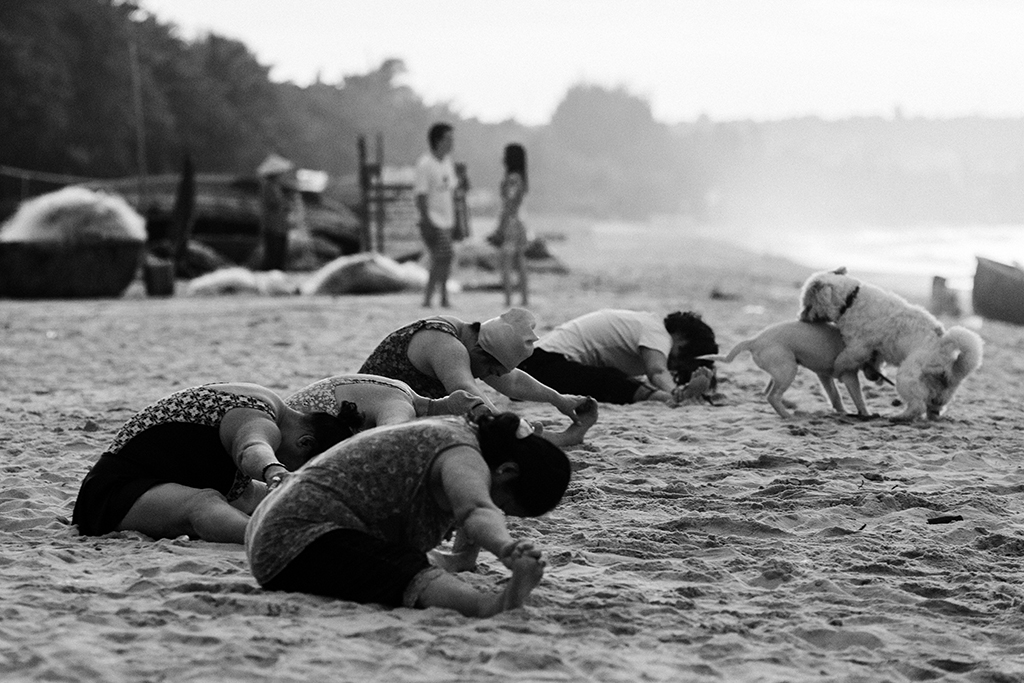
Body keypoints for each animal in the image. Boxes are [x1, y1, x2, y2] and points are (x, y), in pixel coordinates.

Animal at [704, 321, 880, 417]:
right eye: (876, 359)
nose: (877, 378)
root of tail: (754, 340)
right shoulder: (850, 377)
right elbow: (859, 398)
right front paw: (867, 414)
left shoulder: (824, 375)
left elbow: (834, 395)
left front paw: (842, 411)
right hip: (788, 371)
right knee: (773, 396)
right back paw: (788, 416)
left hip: (780, 372)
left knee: (767, 392)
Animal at [798, 268, 983, 421]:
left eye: (807, 305)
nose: (800, 318)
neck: (850, 300)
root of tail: (944, 349)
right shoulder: (874, 351)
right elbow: (874, 365)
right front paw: (875, 376)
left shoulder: (859, 346)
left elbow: (843, 359)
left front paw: (838, 369)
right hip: (940, 390)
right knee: (932, 406)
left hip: (906, 378)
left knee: (918, 405)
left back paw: (901, 417)